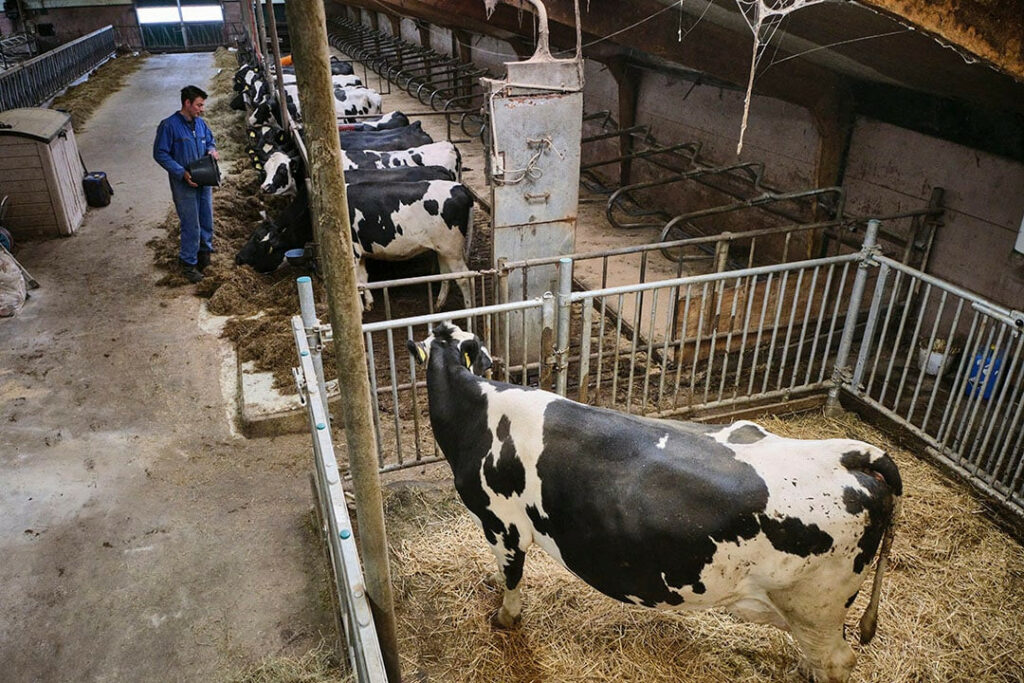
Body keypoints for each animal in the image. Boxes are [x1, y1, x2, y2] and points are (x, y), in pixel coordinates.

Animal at [403, 321, 901, 683]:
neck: (476, 411)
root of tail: (851, 455)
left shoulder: (501, 524)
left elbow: (511, 578)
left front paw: (505, 618)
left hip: (816, 607)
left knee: (837, 661)